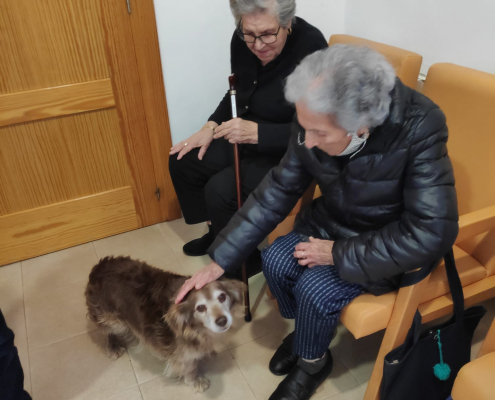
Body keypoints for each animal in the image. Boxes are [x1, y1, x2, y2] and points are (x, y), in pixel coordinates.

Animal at [85, 256, 245, 392]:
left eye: (222, 297)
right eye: (200, 307)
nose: (222, 321)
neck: (196, 328)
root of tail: (99, 266)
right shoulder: (181, 354)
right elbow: (190, 367)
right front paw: (196, 381)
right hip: (110, 317)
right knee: (107, 330)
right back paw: (114, 346)